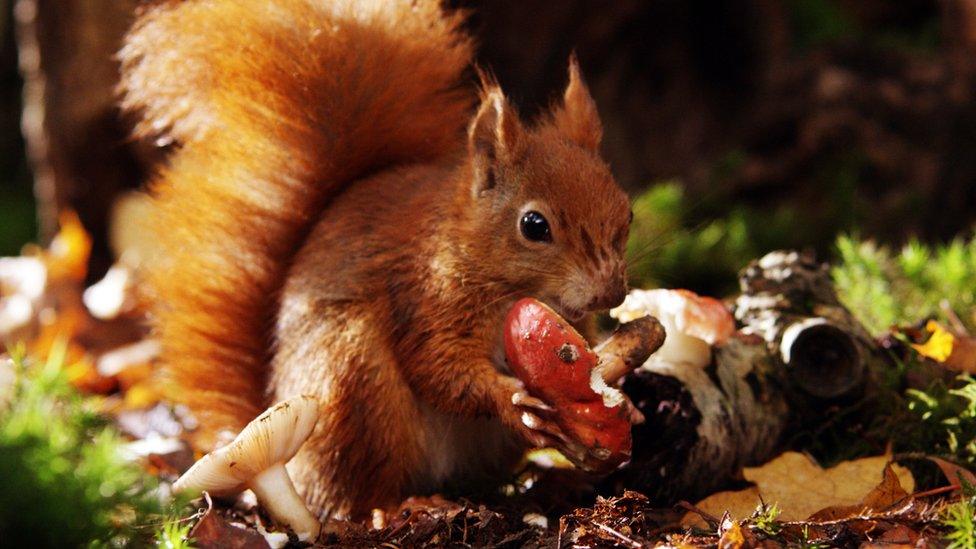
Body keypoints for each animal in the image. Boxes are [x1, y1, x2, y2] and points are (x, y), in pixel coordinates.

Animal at [118, 0, 632, 520]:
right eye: (534, 225)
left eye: (626, 213)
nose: (611, 292)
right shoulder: (424, 297)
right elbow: (440, 368)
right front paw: (511, 398)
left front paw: (624, 402)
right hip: (356, 385)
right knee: (359, 493)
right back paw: (406, 505)